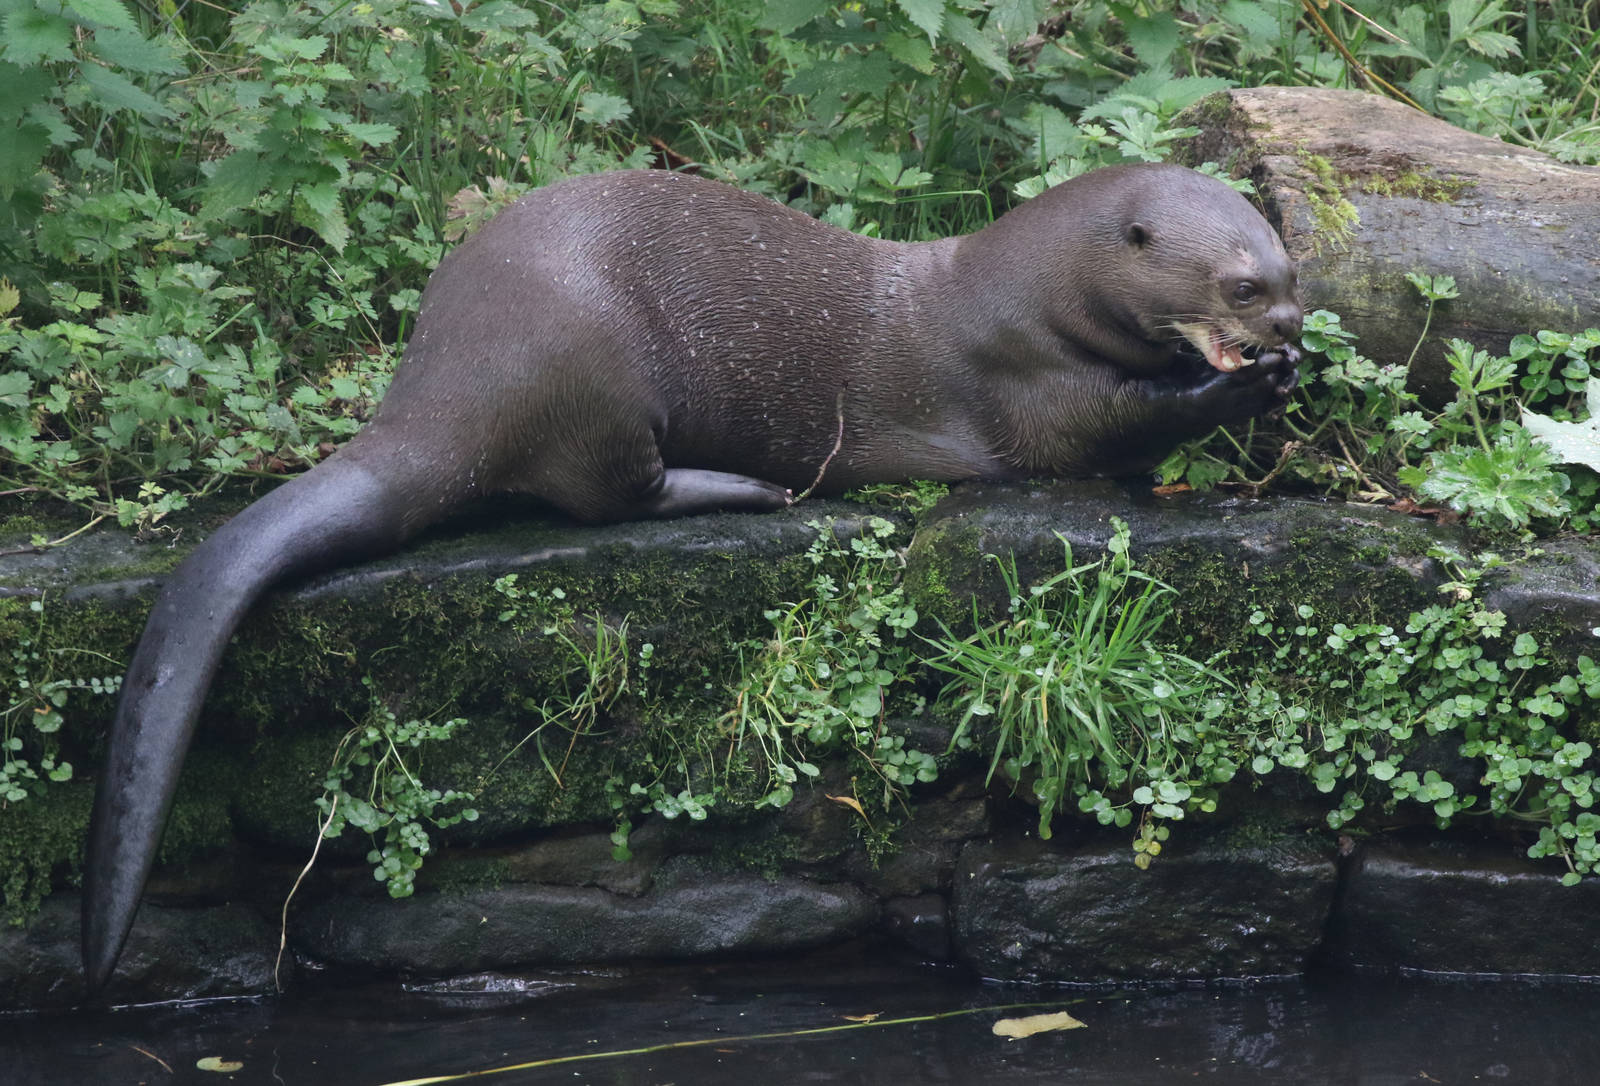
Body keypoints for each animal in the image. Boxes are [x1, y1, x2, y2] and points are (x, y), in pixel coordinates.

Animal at [83, 163, 1302, 991]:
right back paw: (754, 489)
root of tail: (443, 387)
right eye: (1242, 285)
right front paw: (1245, 385)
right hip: (598, 370)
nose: (1290, 319)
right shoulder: (1026, 380)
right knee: (606, 494)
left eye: (1289, 269)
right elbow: (1109, 429)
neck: (1019, 290)